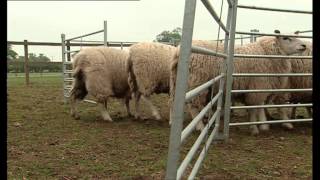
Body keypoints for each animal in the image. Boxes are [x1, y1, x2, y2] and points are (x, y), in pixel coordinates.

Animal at [170, 30, 308, 135]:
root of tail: (177, 50)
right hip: (197, 82)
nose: (304, 46)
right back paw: (200, 127)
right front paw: (257, 126)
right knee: (193, 106)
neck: (267, 53)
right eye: (286, 38)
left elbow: (258, 106)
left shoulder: (259, 87)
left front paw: (261, 124)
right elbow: (256, 107)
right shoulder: (258, 86)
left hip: (180, 82)